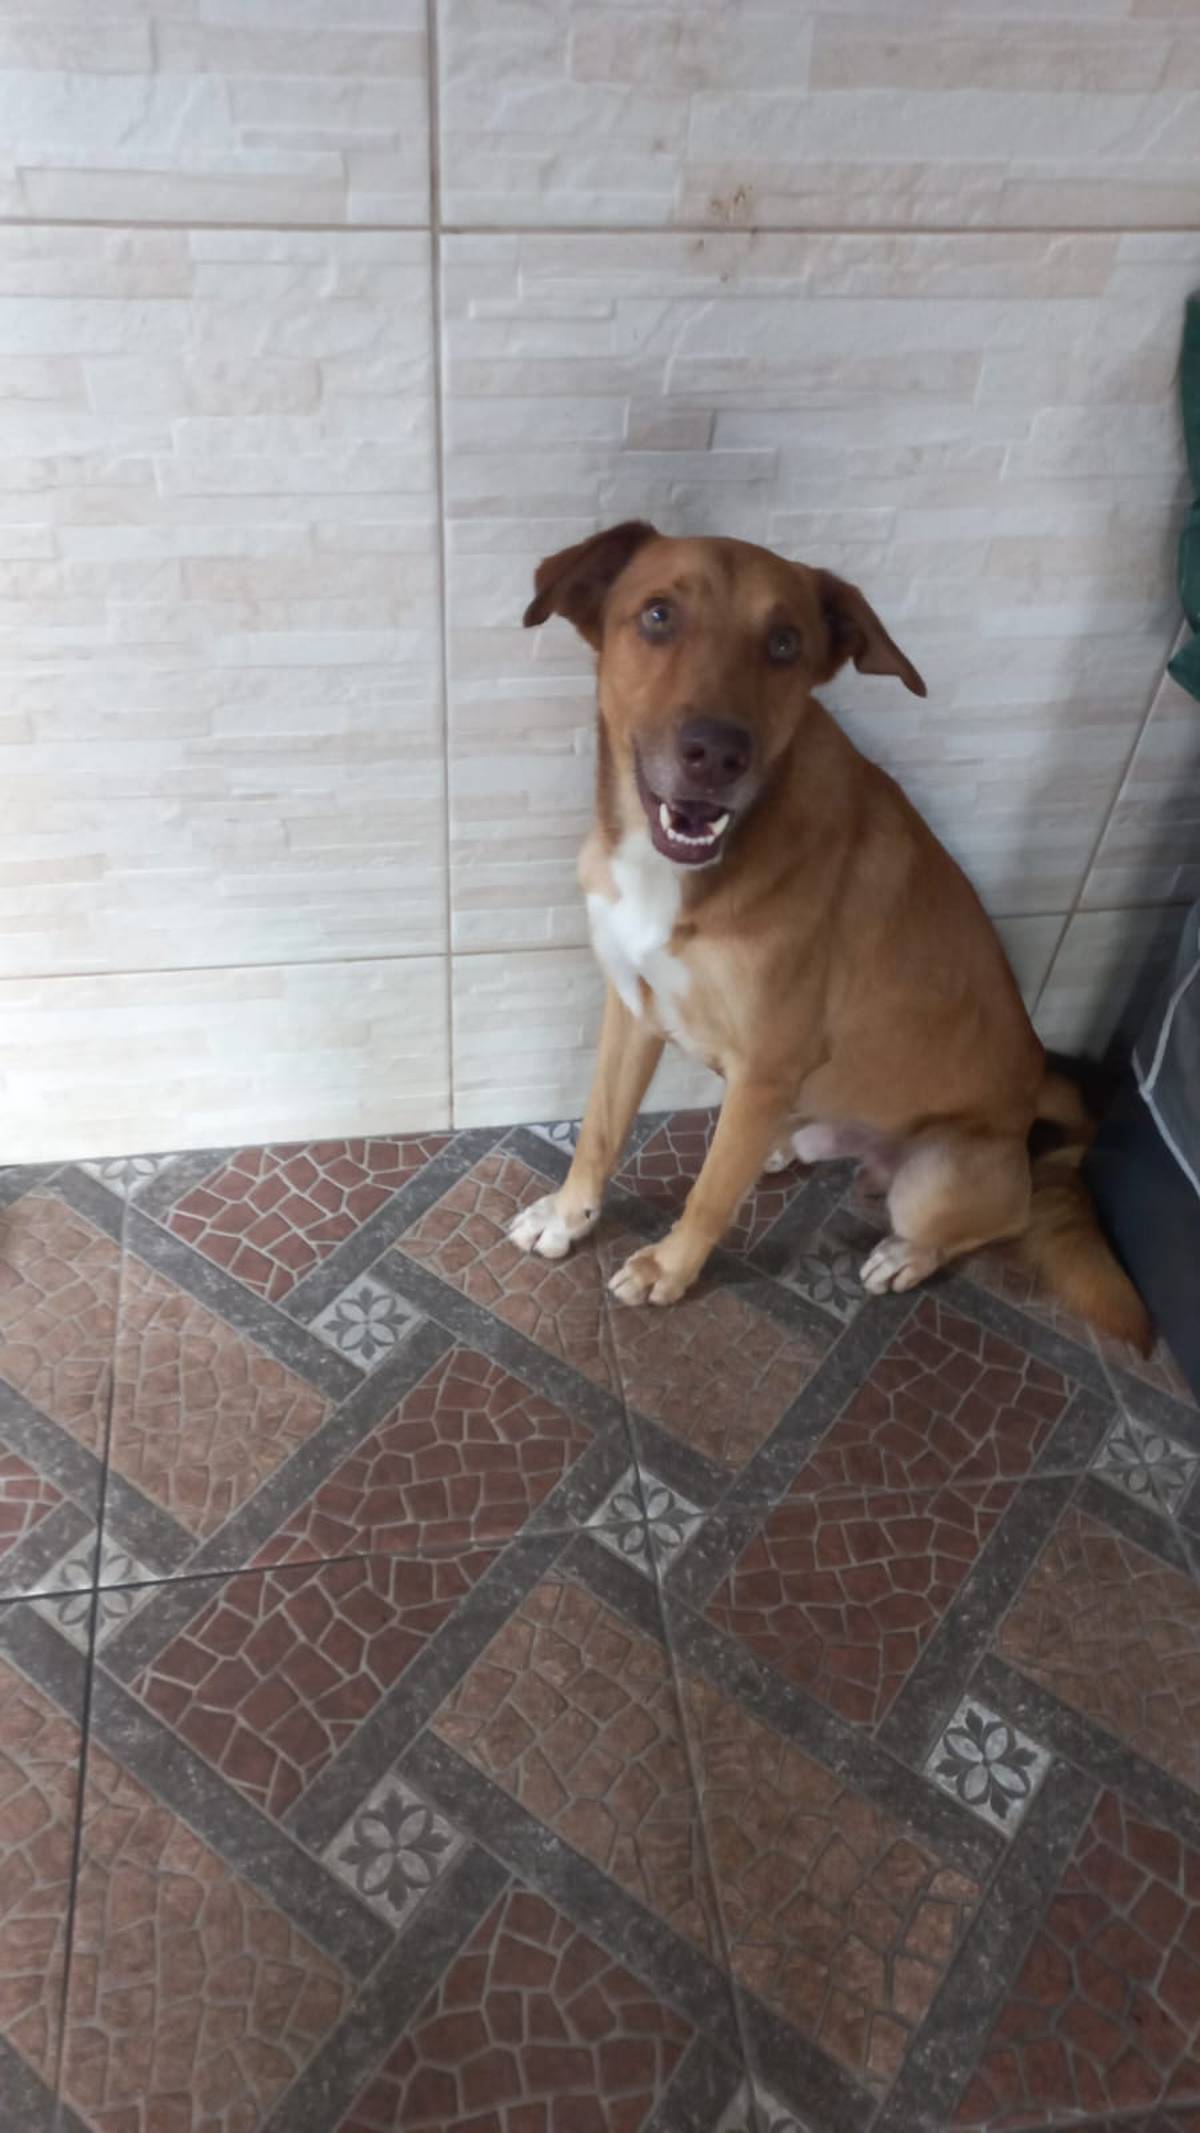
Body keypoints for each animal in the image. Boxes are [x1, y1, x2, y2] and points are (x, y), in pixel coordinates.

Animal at [508, 519, 1151, 1351]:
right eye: (656, 615)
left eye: (785, 643)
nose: (717, 754)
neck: (689, 872)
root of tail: (1034, 1084)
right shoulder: (634, 1006)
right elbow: (599, 1129)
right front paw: (568, 1215)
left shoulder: (767, 1063)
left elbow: (708, 1196)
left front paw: (668, 1270)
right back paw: (784, 1145)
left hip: (936, 1178)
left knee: (1001, 1219)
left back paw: (906, 1254)